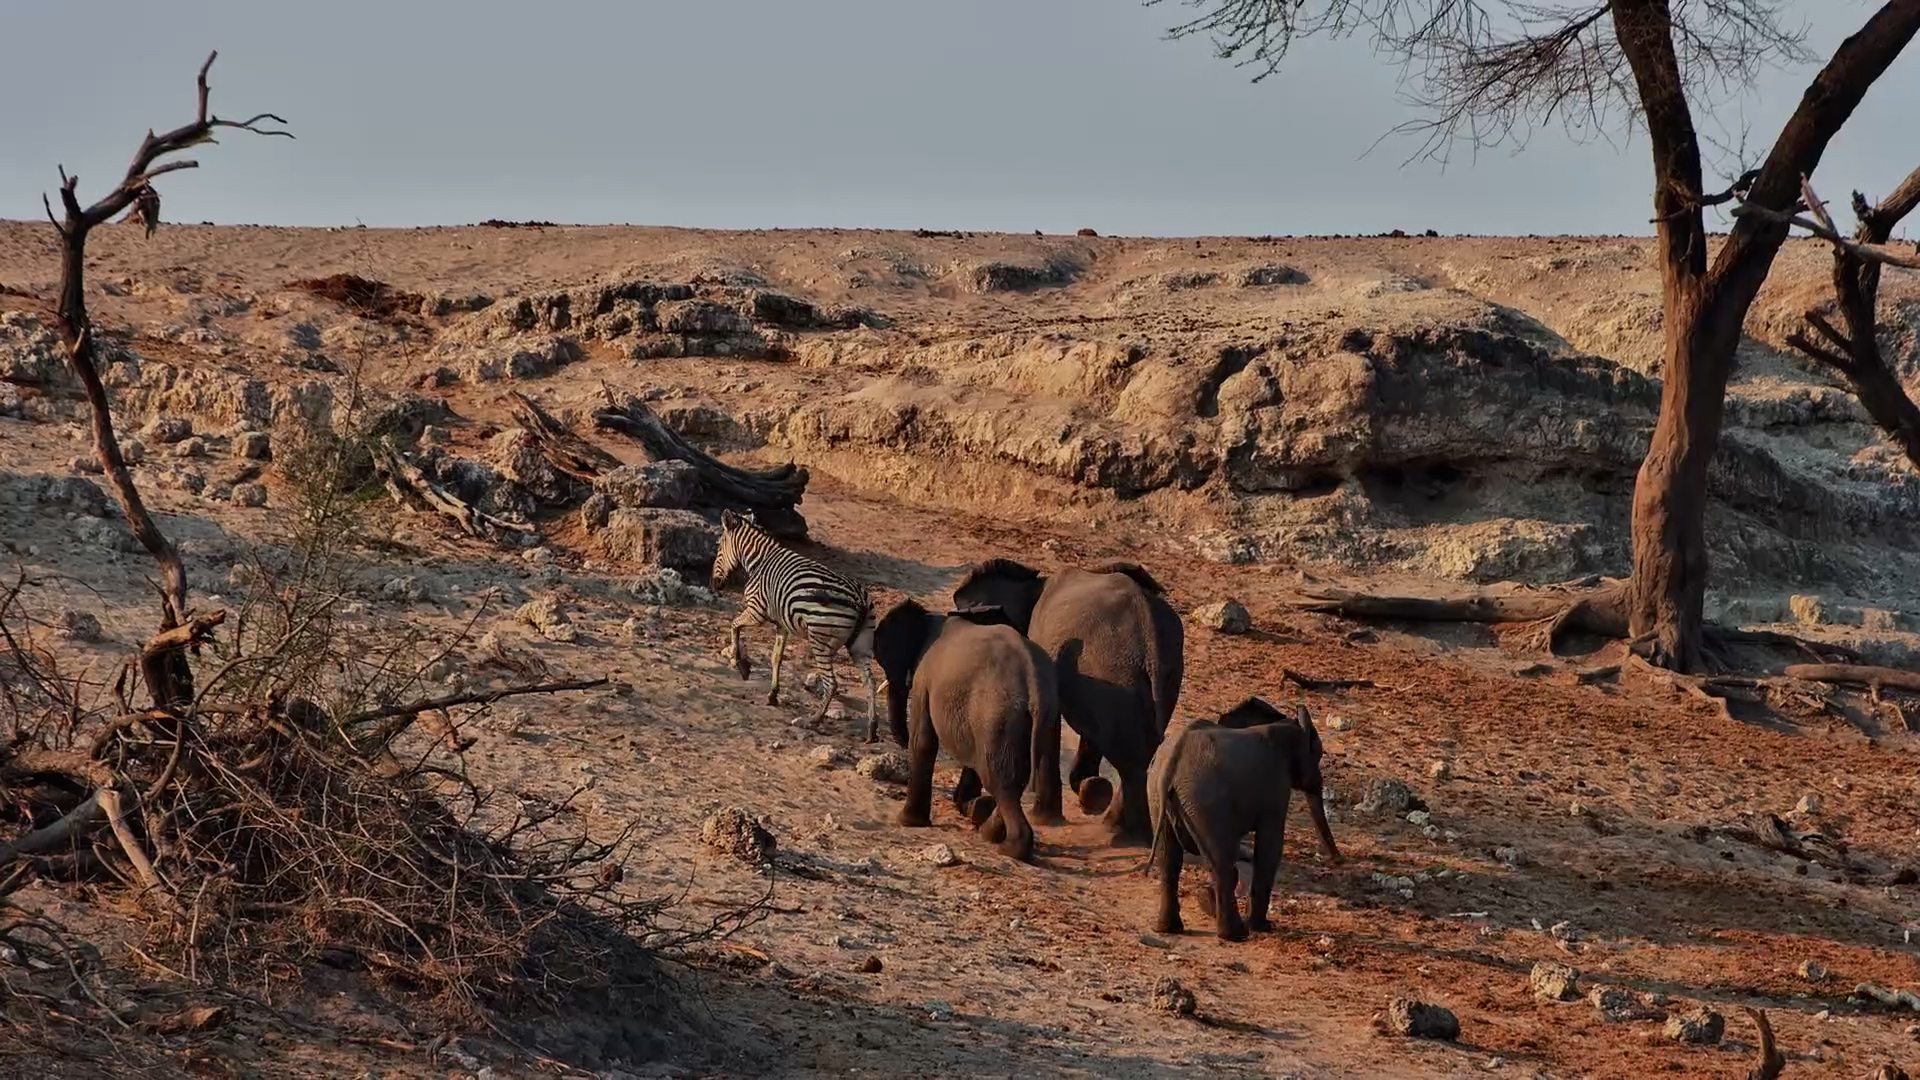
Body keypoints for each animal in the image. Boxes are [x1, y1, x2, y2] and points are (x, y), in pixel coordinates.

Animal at [709, 509, 880, 740]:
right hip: (861, 644)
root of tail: (859, 599)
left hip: (820, 640)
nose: (715, 583)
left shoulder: (756, 611)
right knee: (870, 682)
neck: (760, 561)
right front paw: (773, 694)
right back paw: (871, 728)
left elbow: (734, 625)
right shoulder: (782, 624)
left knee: (831, 683)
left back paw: (813, 719)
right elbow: (776, 658)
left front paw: (740, 665)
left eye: (719, 547)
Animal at [872, 597, 1059, 863]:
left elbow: (923, 741)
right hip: (1039, 719)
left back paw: (1007, 848)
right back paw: (988, 830)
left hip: (996, 714)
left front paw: (907, 822)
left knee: (1000, 780)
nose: (896, 738)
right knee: (1012, 776)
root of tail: (1034, 681)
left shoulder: (925, 678)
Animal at [950, 558, 1182, 845]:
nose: (960, 802)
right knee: (1136, 746)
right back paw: (1113, 820)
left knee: (1129, 757)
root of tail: (1152, 639)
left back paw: (1123, 833)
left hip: (1115, 668)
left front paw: (1045, 818)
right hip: (1155, 676)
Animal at [1142, 697, 1340, 941]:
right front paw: (1263, 927)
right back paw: (1236, 934)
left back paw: (1169, 928)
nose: (1337, 861)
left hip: (1156, 796)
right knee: (1223, 865)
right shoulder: (1276, 788)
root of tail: (1172, 761)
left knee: (1168, 861)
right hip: (1207, 803)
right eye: (1319, 753)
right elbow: (1270, 846)